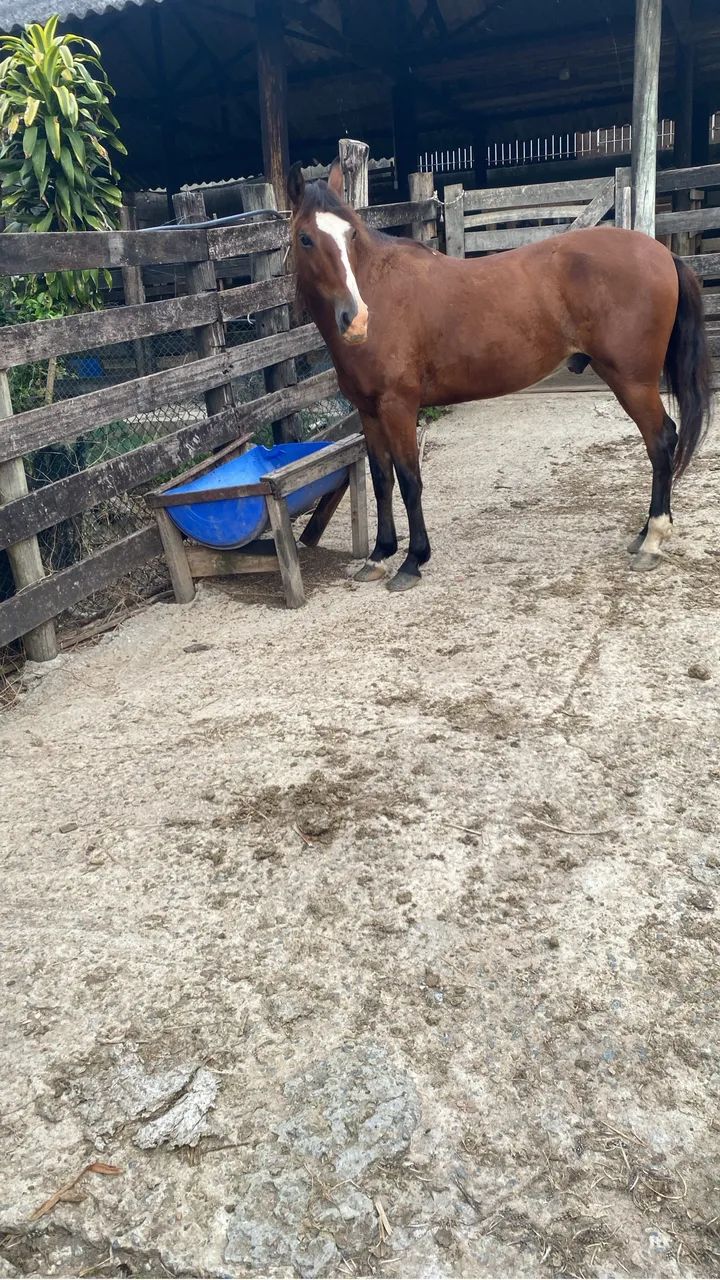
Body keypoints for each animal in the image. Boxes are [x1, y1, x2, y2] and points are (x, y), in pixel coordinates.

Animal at [287, 160, 712, 593]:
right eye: (305, 239)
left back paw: (653, 539)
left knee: (661, 441)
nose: (356, 320)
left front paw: (413, 560)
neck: (381, 291)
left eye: (351, 234)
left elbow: (409, 480)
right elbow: (381, 480)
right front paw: (378, 555)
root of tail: (661, 253)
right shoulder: (369, 412)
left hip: (633, 381)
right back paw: (644, 534)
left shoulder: (398, 407)